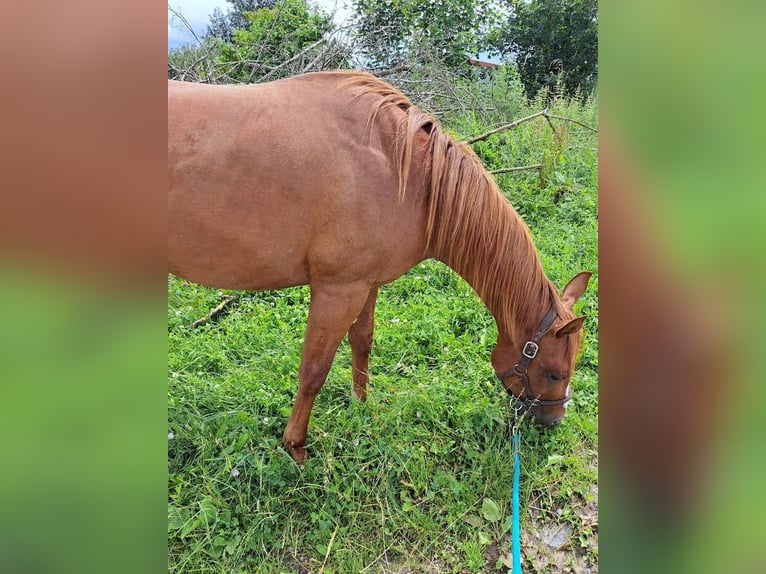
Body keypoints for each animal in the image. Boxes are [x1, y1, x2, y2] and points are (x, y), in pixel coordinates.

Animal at [168, 71, 592, 464]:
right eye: (554, 373)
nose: (554, 422)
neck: (402, 170)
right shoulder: (338, 291)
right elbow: (313, 371)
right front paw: (296, 445)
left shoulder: (366, 285)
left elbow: (363, 342)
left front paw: (361, 404)